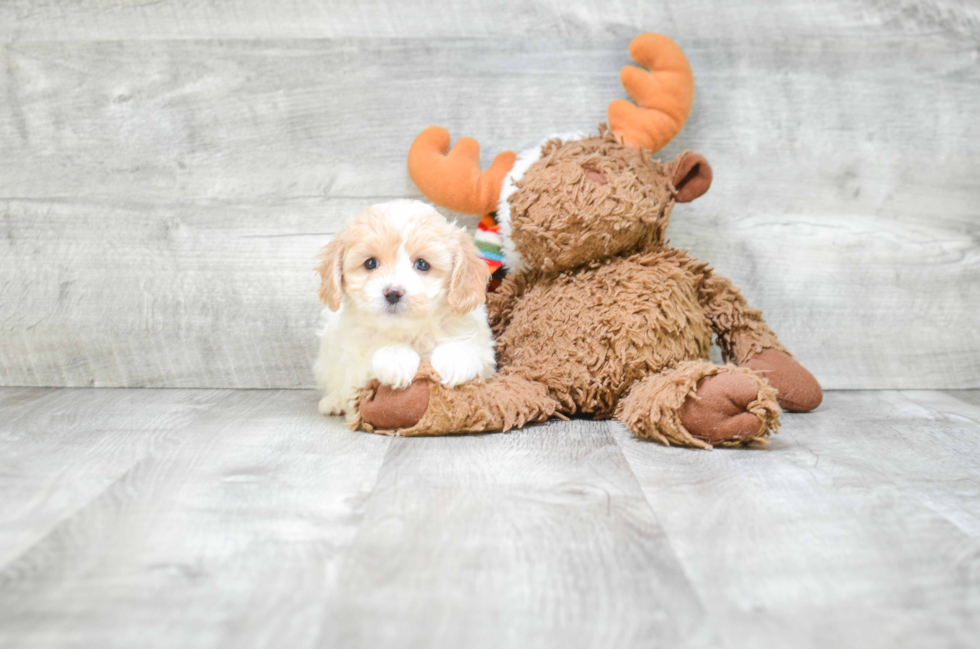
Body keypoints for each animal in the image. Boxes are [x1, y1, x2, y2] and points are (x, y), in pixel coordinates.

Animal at [316, 200, 498, 418]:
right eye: (370, 263)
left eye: (422, 264)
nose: (393, 292)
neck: (409, 331)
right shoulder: (353, 367)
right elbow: (369, 358)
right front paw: (395, 357)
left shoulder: (484, 352)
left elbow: (470, 348)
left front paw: (454, 360)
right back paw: (332, 402)